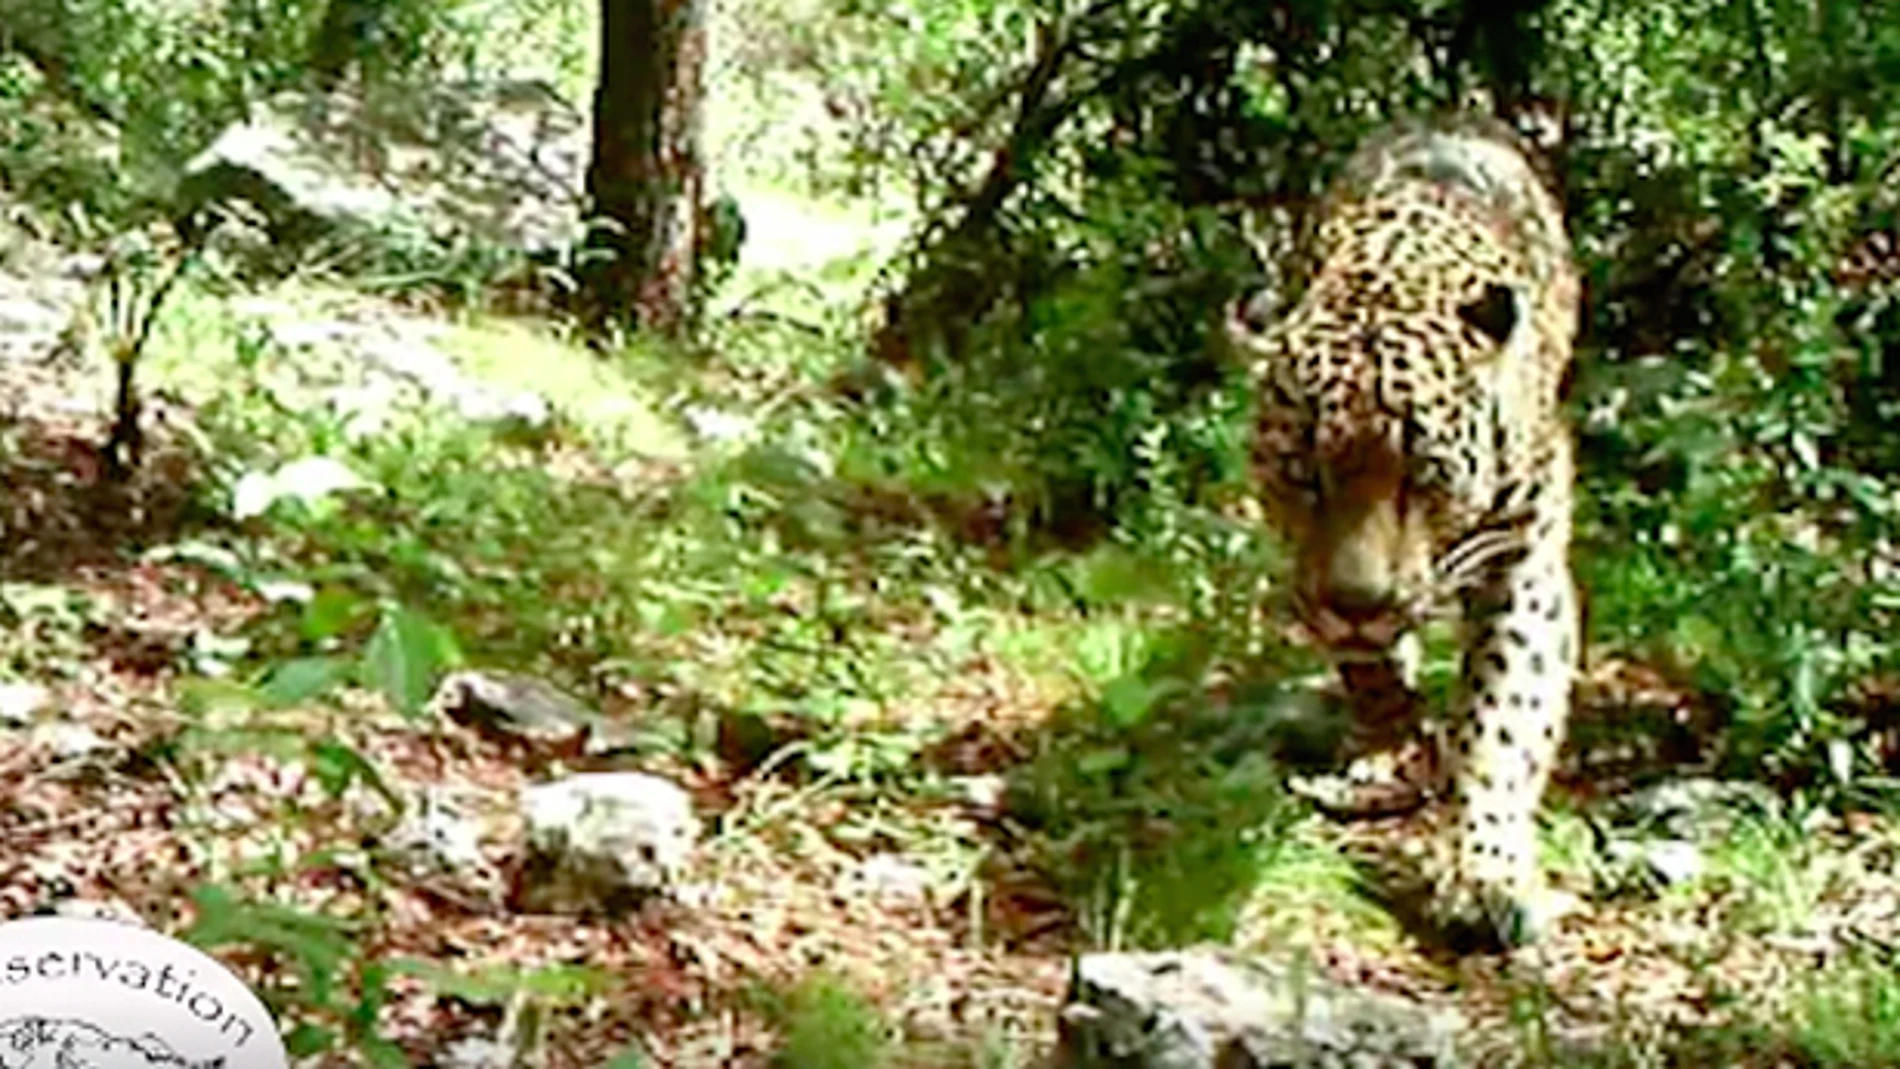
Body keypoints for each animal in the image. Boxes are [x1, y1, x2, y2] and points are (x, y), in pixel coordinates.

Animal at [1226, 116, 1582, 950]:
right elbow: (1373, 671)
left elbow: (1505, 714)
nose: (1358, 602)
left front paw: (1486, 872)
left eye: (1423, 474)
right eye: (1304, 472)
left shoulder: (1525, 561)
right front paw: (1391, 749)